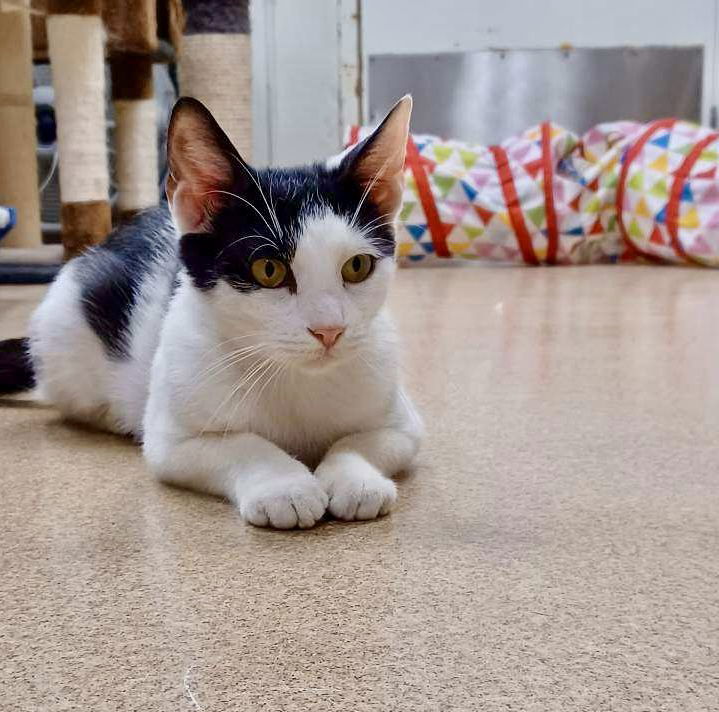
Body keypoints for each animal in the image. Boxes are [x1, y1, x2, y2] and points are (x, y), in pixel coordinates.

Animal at [0, 94, 424, 528]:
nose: (329, 330)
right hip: (64, 330)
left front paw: (355, 479)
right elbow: (241, 444)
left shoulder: (405, 424)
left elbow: (368, 439)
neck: (293, 377)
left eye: (357, 266)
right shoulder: (171, 440)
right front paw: (285, 486)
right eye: (268, 270)